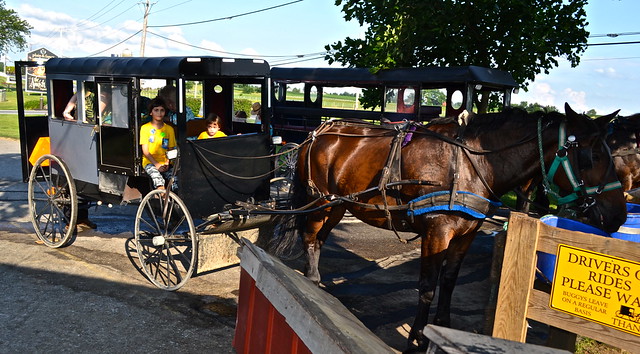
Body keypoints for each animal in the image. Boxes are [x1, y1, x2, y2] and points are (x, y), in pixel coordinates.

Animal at [276, 103, 624, 352]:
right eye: (593, 156)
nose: (618, 216)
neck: (471, 165)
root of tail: (319, 131)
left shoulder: (465, 235)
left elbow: (450, 281)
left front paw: (441, 325)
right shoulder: (437, 233)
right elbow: (428, 285)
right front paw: (418, 337)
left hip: (340, 205)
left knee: (320, 239)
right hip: (322, 202)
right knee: (310, 237)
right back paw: (311, 280)